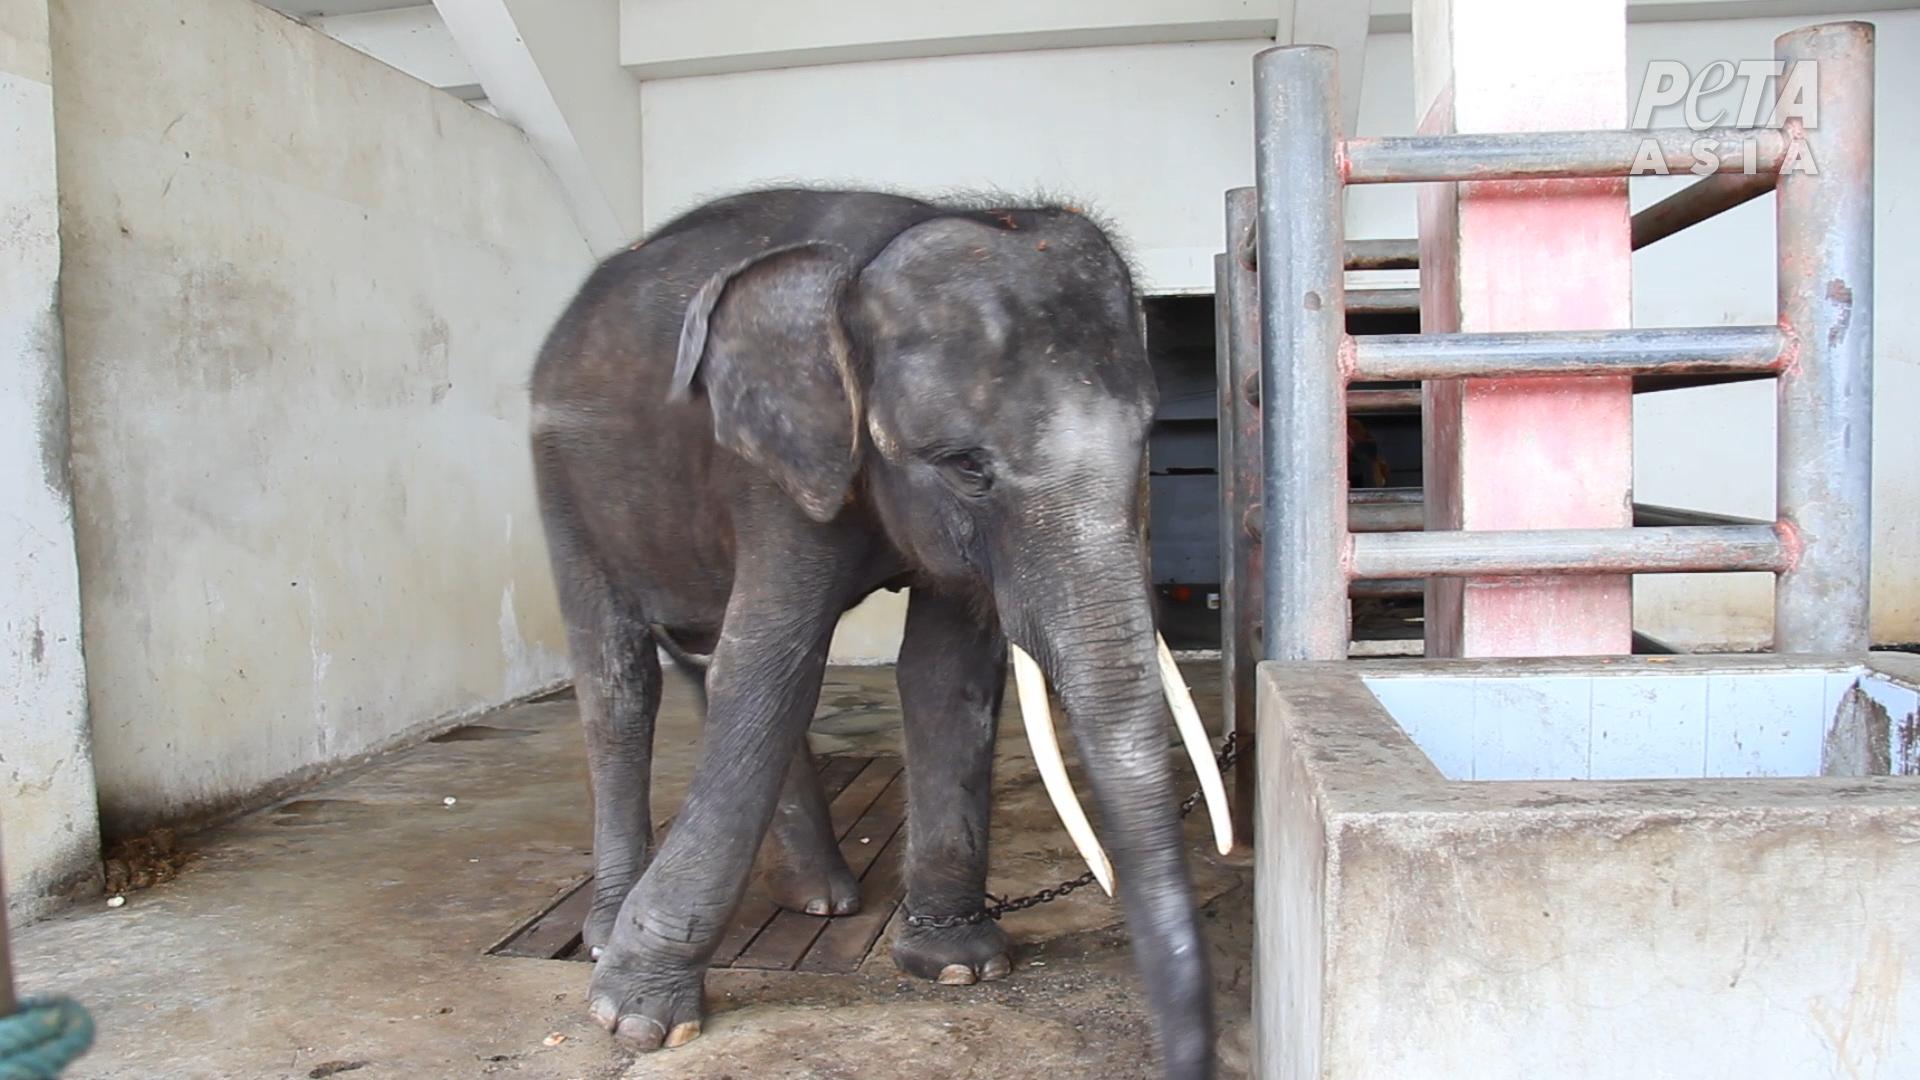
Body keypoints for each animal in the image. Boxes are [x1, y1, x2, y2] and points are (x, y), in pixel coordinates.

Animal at [528, 187, 1231, 1079]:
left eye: (1146, 442)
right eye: (967, 466)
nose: (1186, 1058)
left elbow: (940, 673)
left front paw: (960, 967)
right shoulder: (769, 471)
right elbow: (771, 667)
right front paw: (636, 1020)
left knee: (705, 661)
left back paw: (821, 899)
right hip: (561, 482)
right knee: (622, 682)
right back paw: (602, 932)